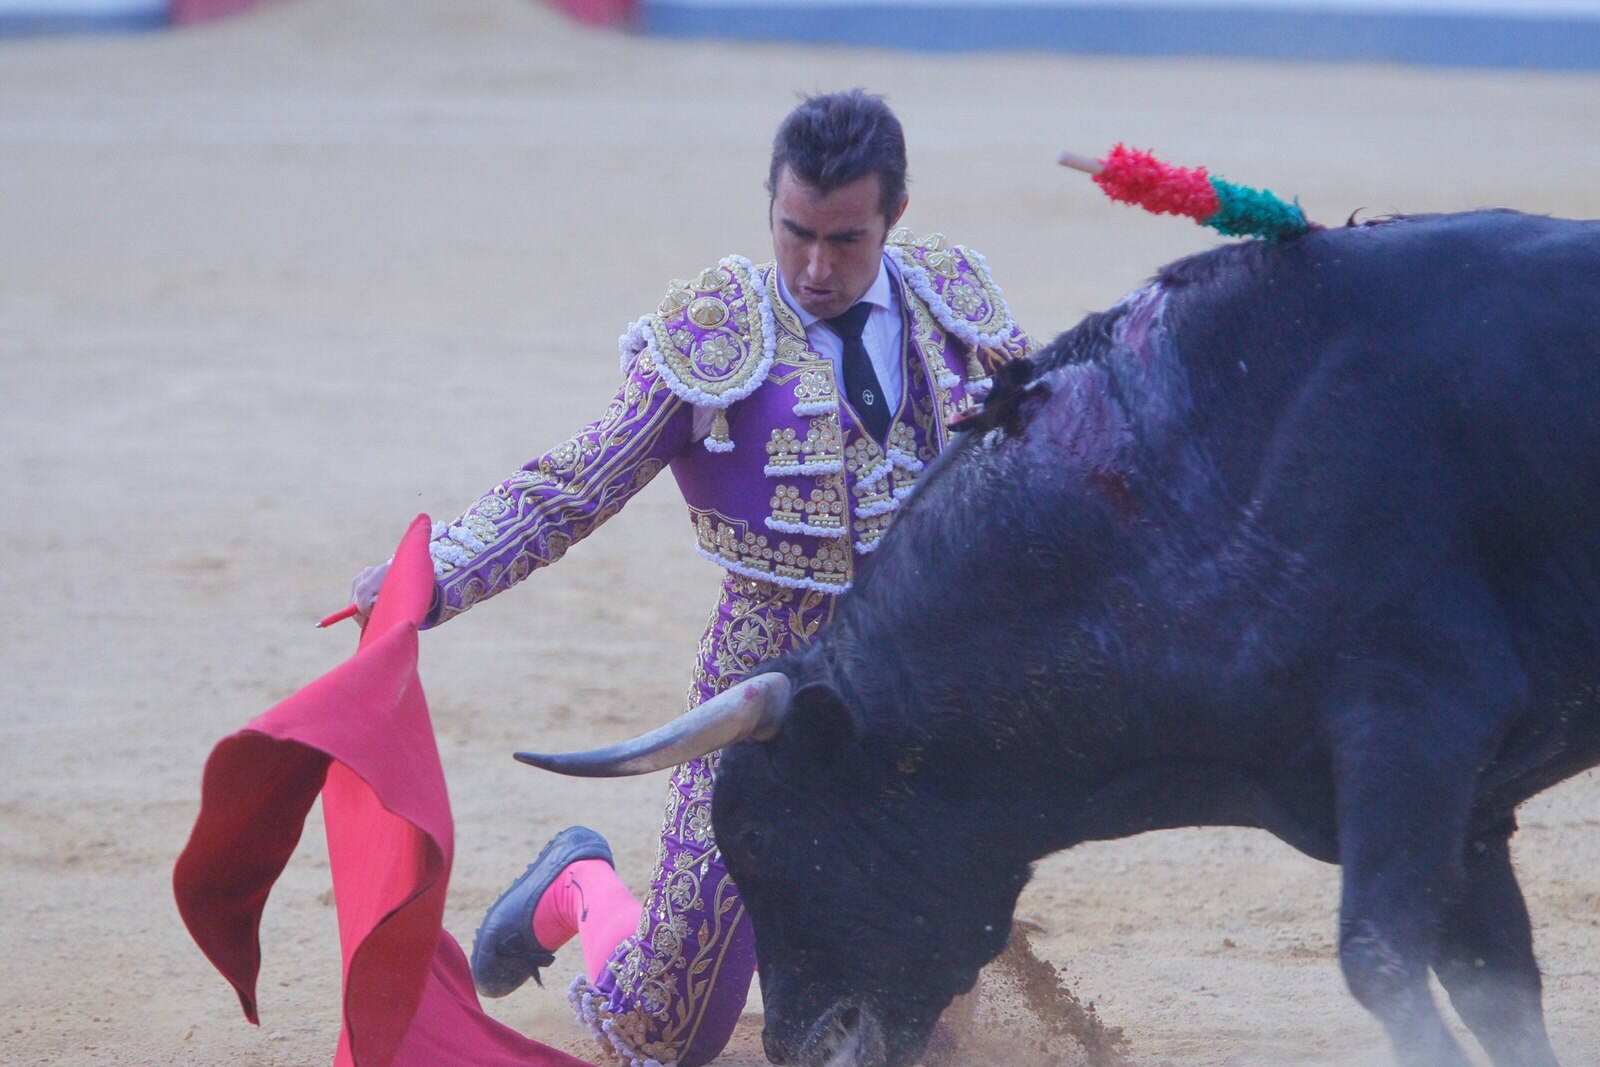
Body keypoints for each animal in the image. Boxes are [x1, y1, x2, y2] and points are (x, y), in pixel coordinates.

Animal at [521, 211, 1600, 1067]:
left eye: (759, 835)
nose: (807, 1044)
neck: (1182, 487)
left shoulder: (1416, 722)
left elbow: (1385, 962)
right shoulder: (1467, 800)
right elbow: (1496, 987)